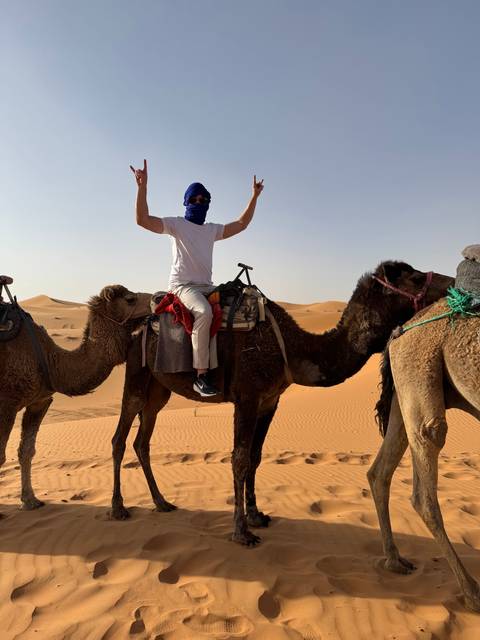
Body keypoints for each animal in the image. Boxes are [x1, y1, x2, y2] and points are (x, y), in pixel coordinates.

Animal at [0, 285, 151, 511]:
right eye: (130, 299)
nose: (159, 297)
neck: (51, 361)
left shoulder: (40, 401)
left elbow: (26, 451)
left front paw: (30, 500)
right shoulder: (7, 403)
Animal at [110, 261, 453, 546]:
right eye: (415, 276)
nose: (450, 284)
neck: (291, 346)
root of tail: (139, 324)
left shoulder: (269, 400)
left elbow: (255, 457)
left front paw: (256, 515)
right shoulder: (247, 397)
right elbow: (239, 458)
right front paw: (241, 532)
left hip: (158, 389)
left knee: (142, 440)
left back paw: (161, 502)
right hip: (137, 375)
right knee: (120, 438)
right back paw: (118, 508)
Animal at [370, 298, 480, 611]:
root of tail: (398, 333)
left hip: (405, 389)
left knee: (379, 472)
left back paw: (395, 560)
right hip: (419, 367)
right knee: (430, 437)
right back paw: (471, 592)